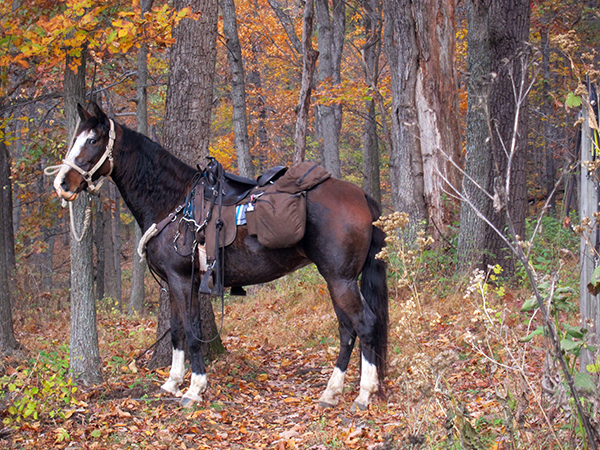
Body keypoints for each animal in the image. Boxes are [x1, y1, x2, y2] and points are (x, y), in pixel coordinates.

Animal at [51, 103, 390, 412]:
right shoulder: (175, 283)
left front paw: (194, 388)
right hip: (336, 279)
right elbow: (176, 331)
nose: (62, 183)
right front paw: (172, 382)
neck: (173, 203)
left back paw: (363, 394)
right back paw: (331, 392)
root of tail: (361, 196)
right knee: (347, 330)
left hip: (340, 279)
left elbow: (191, 332)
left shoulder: (181, 280)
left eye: (93, 140)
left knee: (364, 324)